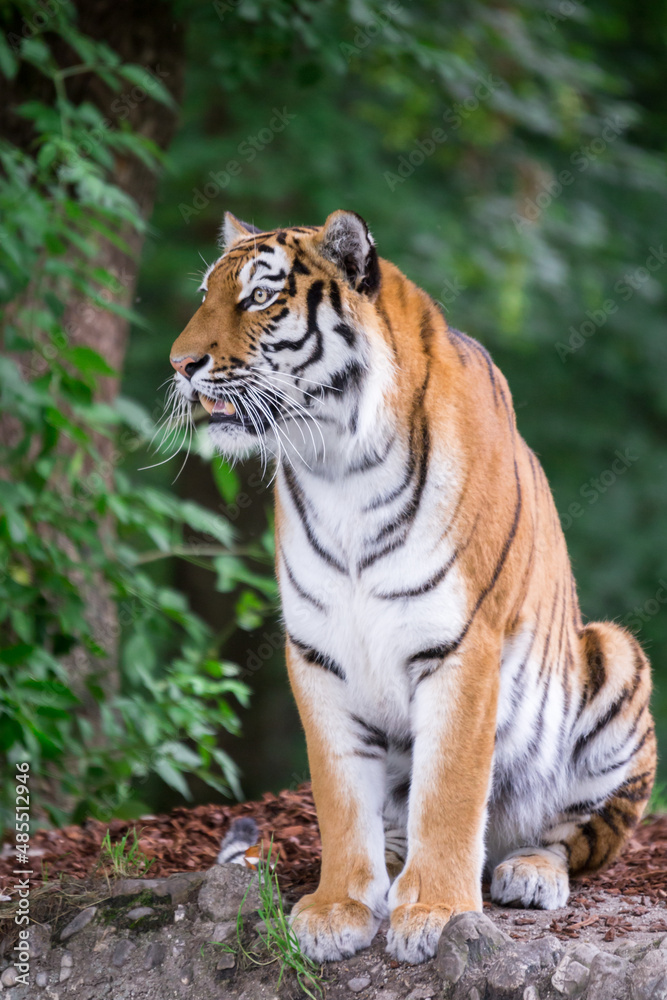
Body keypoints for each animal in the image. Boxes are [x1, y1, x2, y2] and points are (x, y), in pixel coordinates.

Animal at [170, 209, 656, 960]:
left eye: (259, 297)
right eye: (204, 296)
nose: (179, 365)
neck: (336, 468)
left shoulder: (459, 646)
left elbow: (449, 790)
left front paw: (434, 912)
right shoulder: (317, 651)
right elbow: (340, 793)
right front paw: (338, 909)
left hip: (614, 658)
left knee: (570, 837)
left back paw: (526, 872)